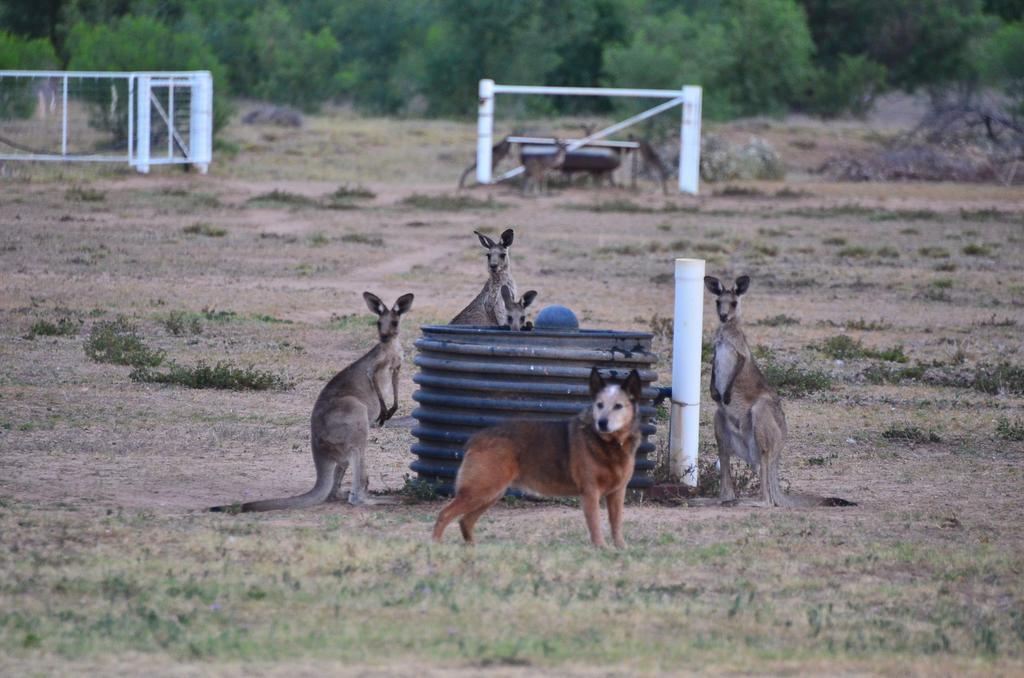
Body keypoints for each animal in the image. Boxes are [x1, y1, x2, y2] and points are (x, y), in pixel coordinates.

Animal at [430, 368, 638, 548]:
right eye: (599, 405)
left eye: (618, 406)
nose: (602, 423)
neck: (610, 444)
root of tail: (476, 438)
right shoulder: (590, 492)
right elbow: (595, 524)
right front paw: (601, 547)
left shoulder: (618, 492)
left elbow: (616, 522)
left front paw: (620, 547)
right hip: (480, 490)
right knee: (444, 514)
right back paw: (435, 546)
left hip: (490, 493)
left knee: (465, 520)